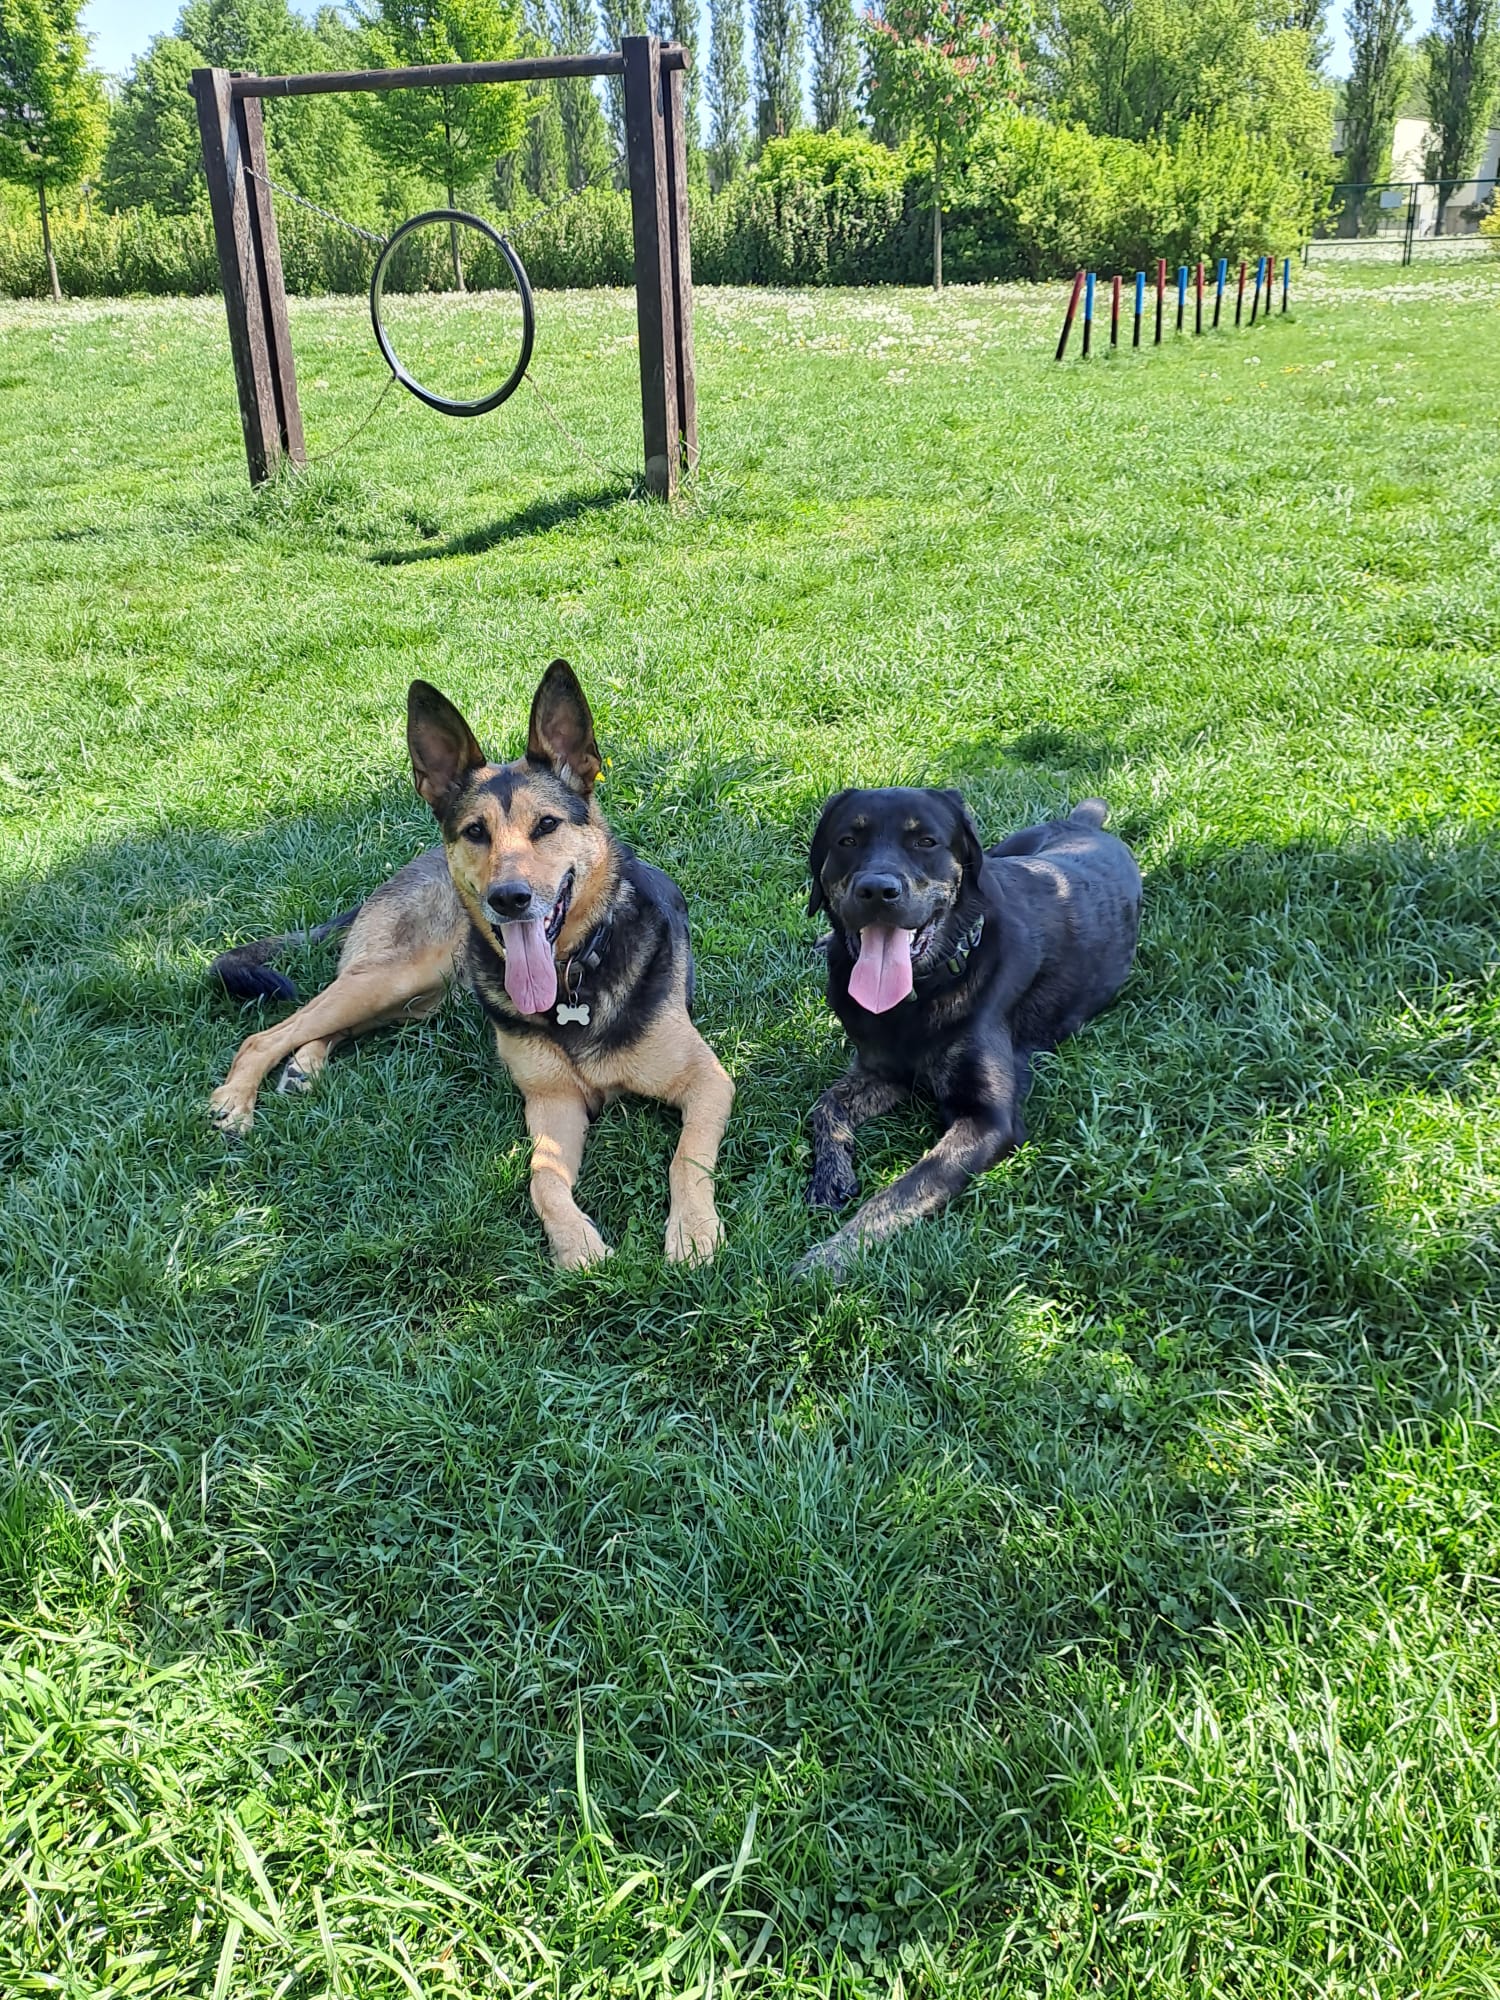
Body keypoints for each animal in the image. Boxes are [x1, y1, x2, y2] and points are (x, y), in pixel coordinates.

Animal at [209, 661, 734, 1269]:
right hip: (396, 977)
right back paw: (236, 1100)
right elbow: (542, 1179)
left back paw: (305, 1066)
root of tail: (404, 871)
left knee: (329, 1027)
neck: (576, 980)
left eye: (546, 825)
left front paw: (692, 1231)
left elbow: (685, 1158)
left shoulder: (708, 1083)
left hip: (413, 999)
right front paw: (575, 1243)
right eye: (476, 831)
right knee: (267, 1035)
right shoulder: (552, 1103)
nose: (509, 899)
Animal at [797, 788, 1140, 1275]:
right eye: (847, 840)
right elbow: (825, 1107)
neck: (924, 989)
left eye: (925, 841)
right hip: (1003, 849)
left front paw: (829, 1258)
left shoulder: (988, 1121)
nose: (877, 890)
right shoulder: (882, 1070)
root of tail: (1085, 826)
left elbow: (906, 1188)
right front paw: (831, 1177)